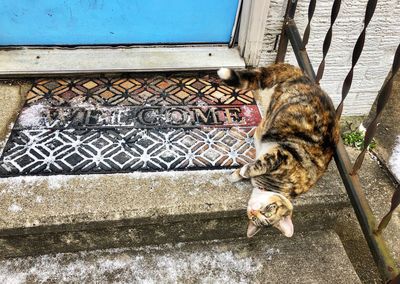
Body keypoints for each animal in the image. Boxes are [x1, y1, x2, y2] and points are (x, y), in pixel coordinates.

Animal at [217, 62, 340, 237]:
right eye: (270, 208)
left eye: (260, 219)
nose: (253, 211)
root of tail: (304, 76)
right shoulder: (283, 155)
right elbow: (258, 165)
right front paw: (242, 172)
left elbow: (250, 167)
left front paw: (237, 174)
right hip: (278, 105)